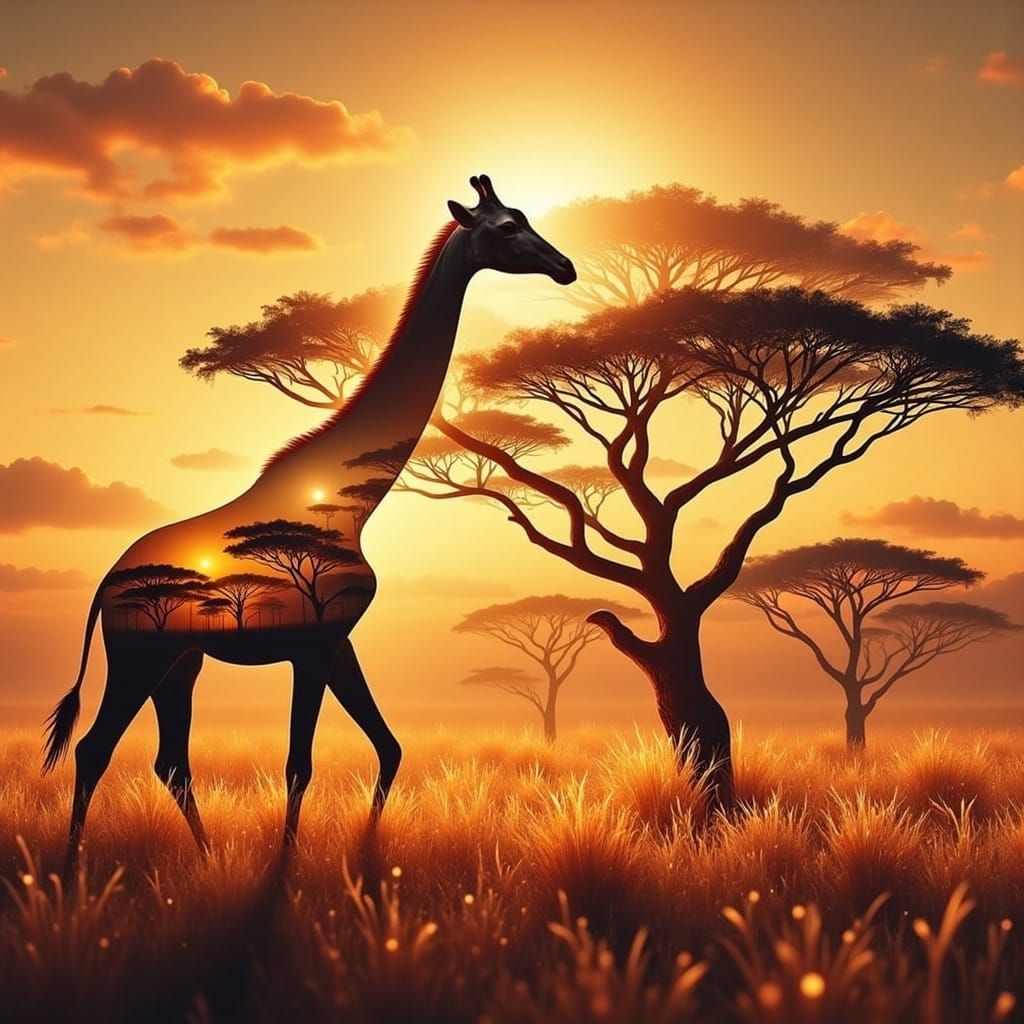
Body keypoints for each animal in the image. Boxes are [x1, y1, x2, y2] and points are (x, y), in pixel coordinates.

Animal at [44, 174, 576, 874]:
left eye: (526, 216)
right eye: (508, 226)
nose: (565, 267)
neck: (355, 505)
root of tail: (105, 583)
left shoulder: (337, 639)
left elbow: (389, 746)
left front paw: (365, 854)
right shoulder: (313, 645)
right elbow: (300, 763)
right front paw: (282, 873)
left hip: (181, 661)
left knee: (170, 761)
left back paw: (207, 859)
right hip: (139, 654)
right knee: (94, 749)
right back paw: (71, 872)